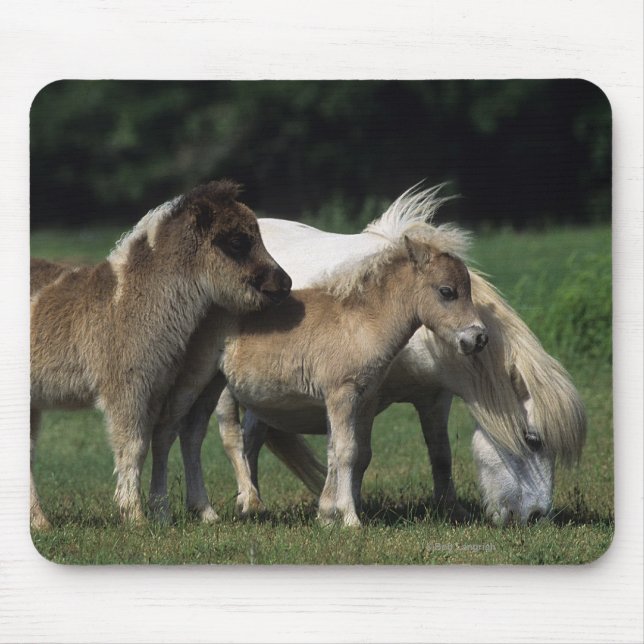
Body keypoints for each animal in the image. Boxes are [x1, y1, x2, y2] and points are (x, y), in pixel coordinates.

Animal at [30, 179, 291, 529]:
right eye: (237, 241)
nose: (285, 283)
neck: (127, 302)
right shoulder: (126, 389)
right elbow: (133, 446)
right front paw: (135, 517)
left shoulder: (155, 389)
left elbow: (153, 439)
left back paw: (39, 521)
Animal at [151, 224, 488, 527]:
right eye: (447, 292)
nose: (478, 338)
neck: (361, 324)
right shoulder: (342, 394)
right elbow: (347, 451)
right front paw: (350, 519)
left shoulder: (358, 399)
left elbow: (337, 452)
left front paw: (326, 516)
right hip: (195, 378)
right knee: (170, 430)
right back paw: (162, 511)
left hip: (214, 384)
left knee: (192, 434)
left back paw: (206, 512)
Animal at [215, 185, 587, 525]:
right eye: (533, 440)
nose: (537, 516)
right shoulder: (361, 398)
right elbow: (356, 454)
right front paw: (347, 510)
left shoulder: (435, 397)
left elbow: (440, 454)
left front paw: (451, 509)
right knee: (240, 438)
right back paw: (250, 502)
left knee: (252, 439)